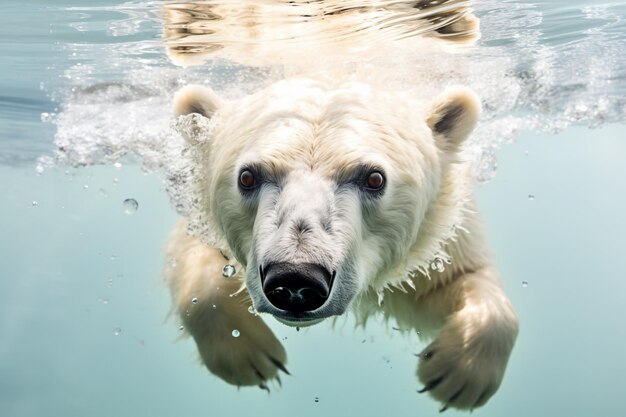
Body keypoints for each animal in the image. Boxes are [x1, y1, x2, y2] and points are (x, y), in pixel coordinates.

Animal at [166, 79, 516, 412]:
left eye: (374, 178)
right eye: (247, 177)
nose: (296, 280)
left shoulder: (441, 235)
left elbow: (454, 279)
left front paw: (457, 375)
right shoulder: (199, 211)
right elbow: (194, 256)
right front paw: (248, 355)